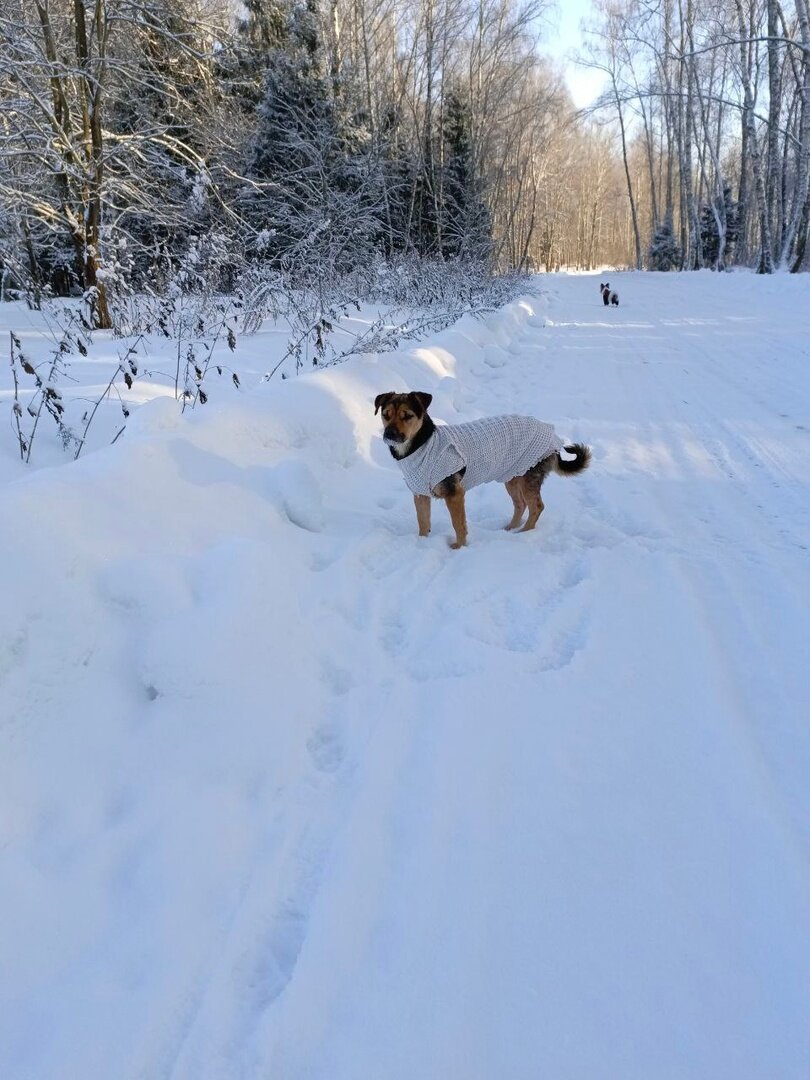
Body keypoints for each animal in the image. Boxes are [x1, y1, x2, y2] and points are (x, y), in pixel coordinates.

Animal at [373, 393, 591, 548]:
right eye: (385, 415)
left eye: (408, 416)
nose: (389, 434)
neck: (422, 444)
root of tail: (552, 436)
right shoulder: (420, 495)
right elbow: (423, 522)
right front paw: (422, 544)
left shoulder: (454, 494)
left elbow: (458, 524)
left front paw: (459, 548)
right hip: (513, 475)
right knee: (520, 504)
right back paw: (510, 528)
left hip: (530, 475)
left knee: (537, 506)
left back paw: (523, 534)